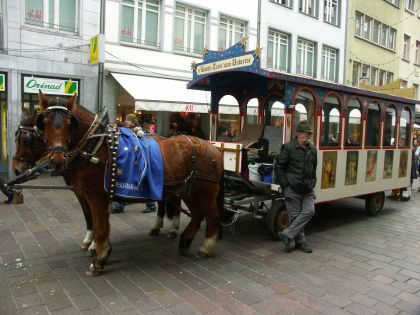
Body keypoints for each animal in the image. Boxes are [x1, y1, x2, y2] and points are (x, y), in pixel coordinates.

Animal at [37, 92, 223, 278]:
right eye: (44, 122)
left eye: (70, 123)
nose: (57, 160)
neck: (95, 146)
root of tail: (213, 148)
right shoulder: (86, 194)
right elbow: (97, 224)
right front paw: (101, 251)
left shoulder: (96, 196)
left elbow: (100, 227)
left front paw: (98, 260)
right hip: (188, 190)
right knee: (198, 214)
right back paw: (185, 241)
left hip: (206, 190)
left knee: (212, 214)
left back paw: (206, 246)